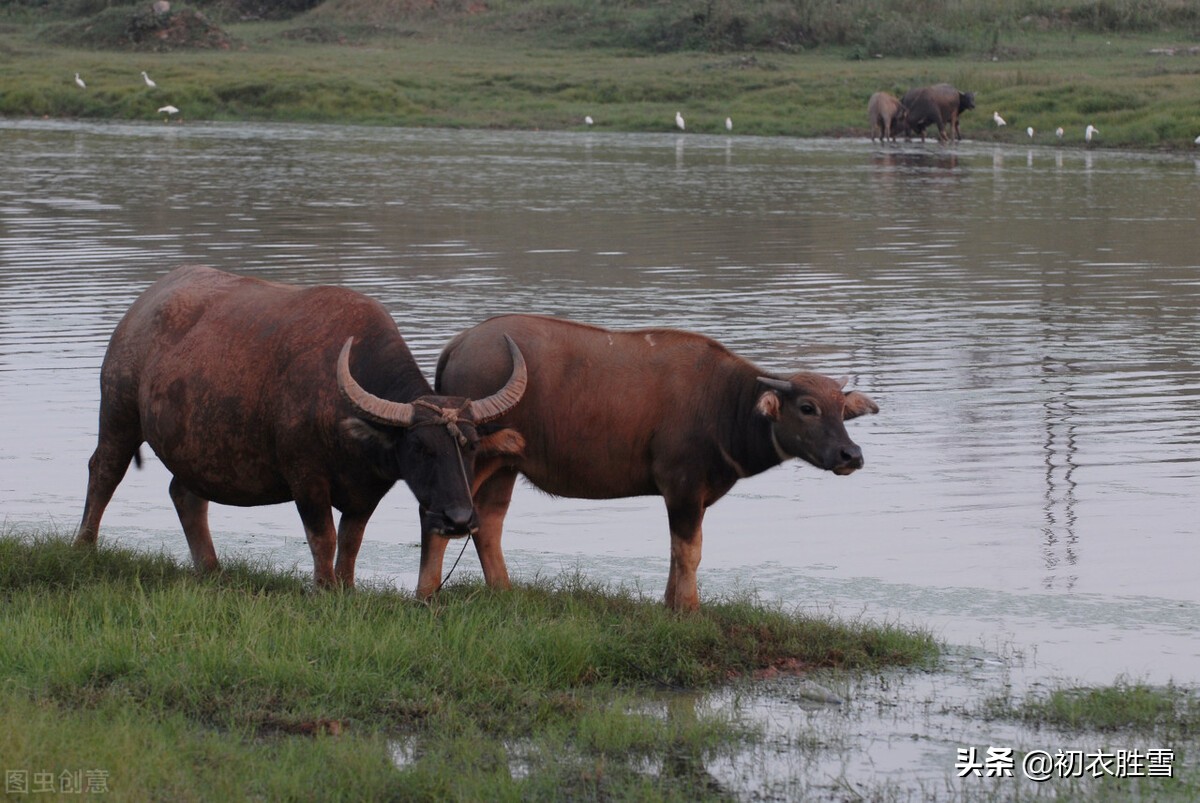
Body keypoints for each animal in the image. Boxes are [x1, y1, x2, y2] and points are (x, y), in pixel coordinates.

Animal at [75, 266, 525, 585]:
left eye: (470, 446)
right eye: (420, 447)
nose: (459, 519)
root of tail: (142, 308)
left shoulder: (367, 491)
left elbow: (351, 542)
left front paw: (346, 587)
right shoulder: (306, 478)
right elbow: (323, 538)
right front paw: (323, 587)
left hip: (195, 451)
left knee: (185, 494)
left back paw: (210, 566)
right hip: (117, 412)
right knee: (104, 471)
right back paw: (84, 546)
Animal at [427, 312, 878, 607]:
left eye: (841, 409)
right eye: (807, 407)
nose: (850, 454)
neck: (723, 403)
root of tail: (459, 343)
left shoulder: (693, 495)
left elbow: (680, 552)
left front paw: (670, 604)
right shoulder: (681, 486)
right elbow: (689, 551)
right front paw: (688, 610)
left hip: (505, 466)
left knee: (488, 525)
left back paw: (503, 591)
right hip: (473, 459)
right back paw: (426, 593)